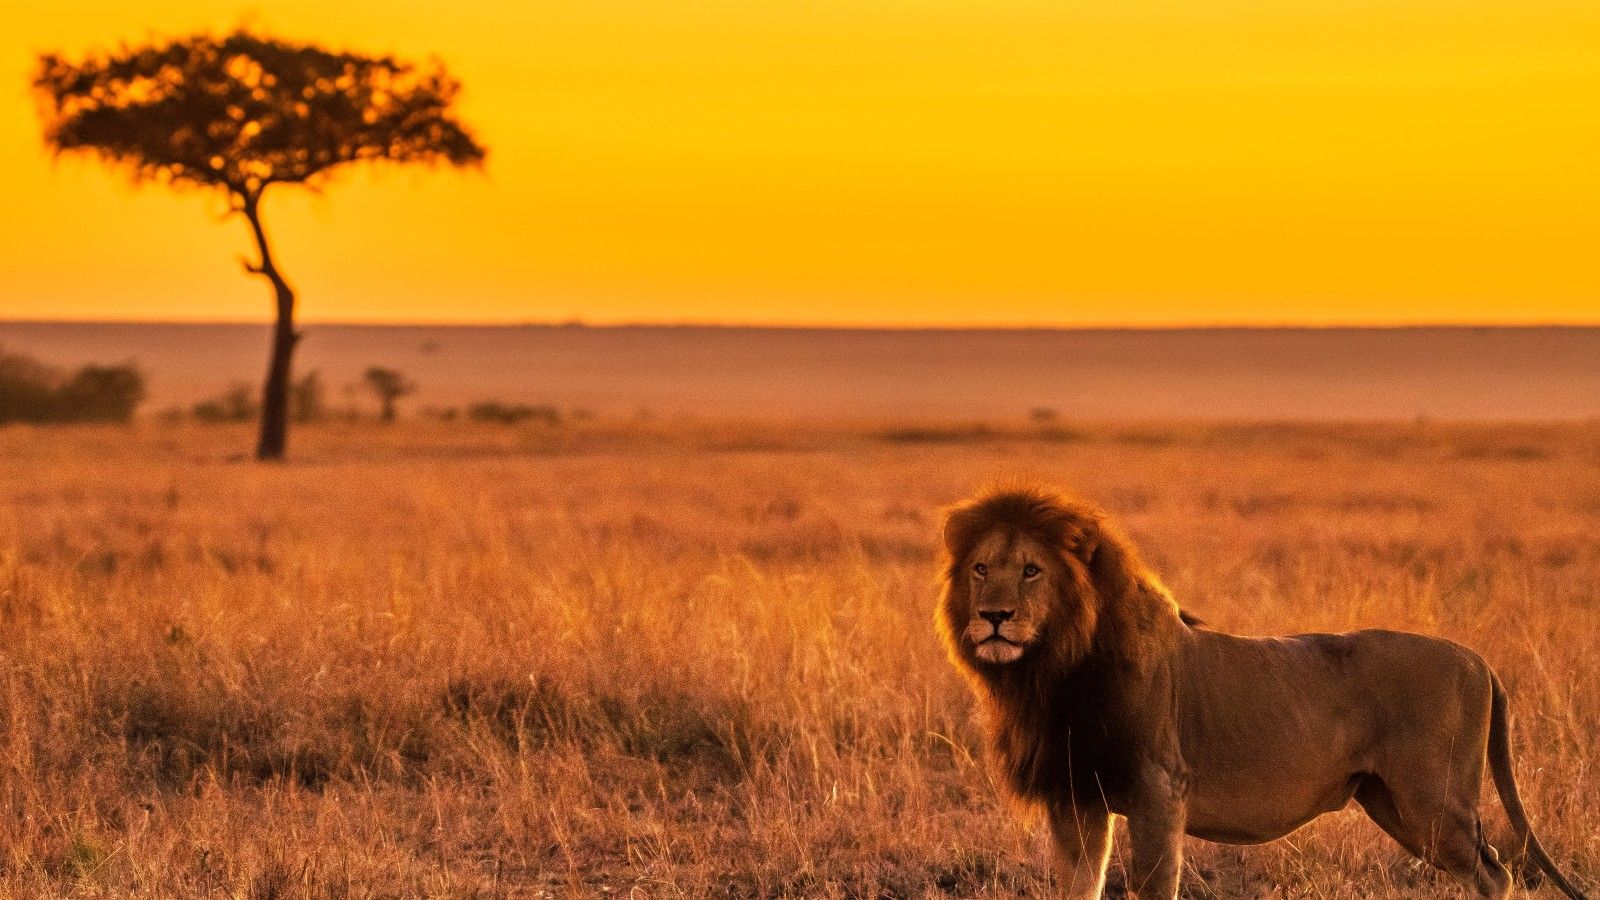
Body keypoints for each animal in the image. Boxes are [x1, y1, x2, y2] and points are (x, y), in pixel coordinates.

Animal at [936, 486, 1589, 900]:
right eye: (980, 569)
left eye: (1031, 570)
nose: (993, 617)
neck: (1053, 671)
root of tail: (1477, 659)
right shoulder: (1076, 797)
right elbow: (1081, 886)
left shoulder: (1158, 790)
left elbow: (1153, 885)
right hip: (1393, 804)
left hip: (1433, 798)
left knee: (1494, 874)